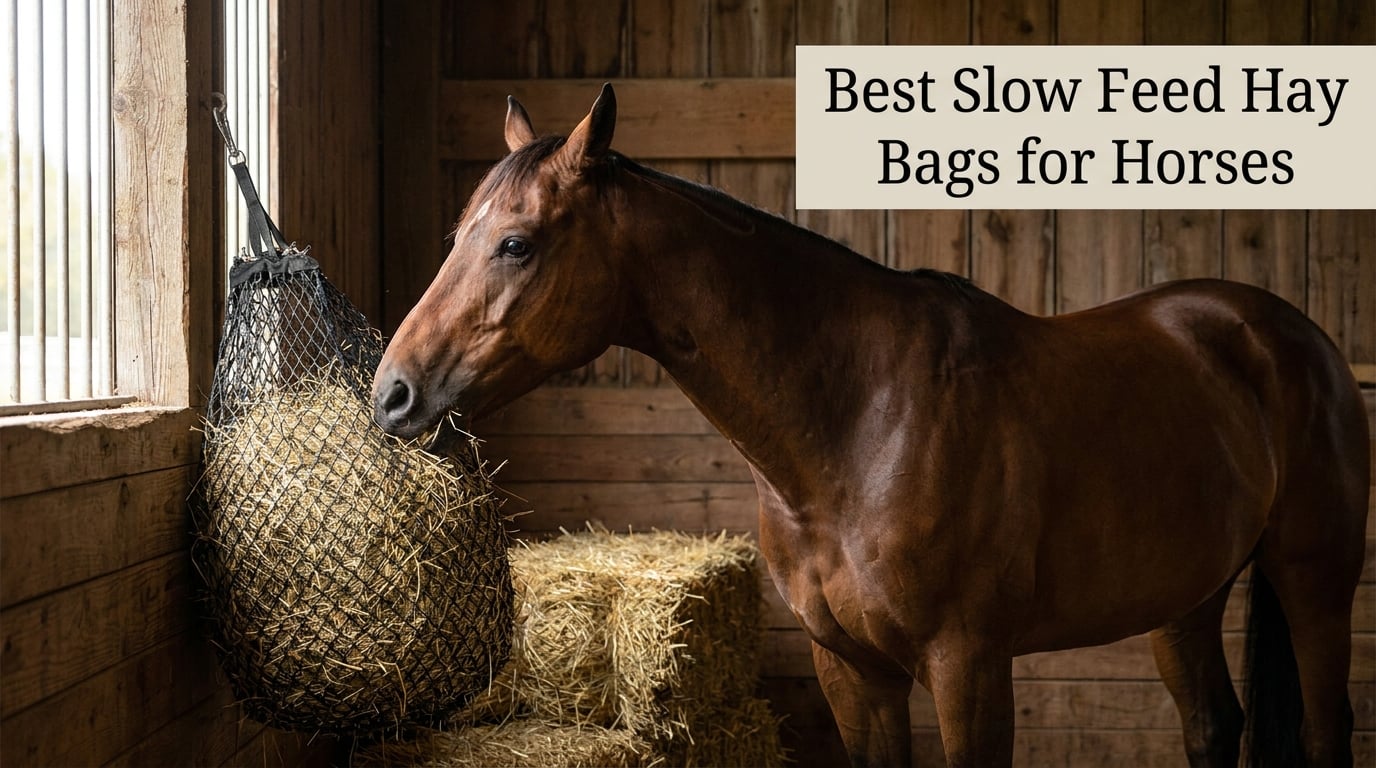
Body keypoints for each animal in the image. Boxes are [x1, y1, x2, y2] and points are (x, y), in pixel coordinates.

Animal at [372, 84, 1369, 767]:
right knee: (1213, 725)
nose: (393, 395)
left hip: (1313, 582)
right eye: (461, 234)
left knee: (1327, 727)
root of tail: (1285, 333)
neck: (859, 424)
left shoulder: (969, 666)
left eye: (517, 243)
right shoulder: (850, 671)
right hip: (1188, 596)